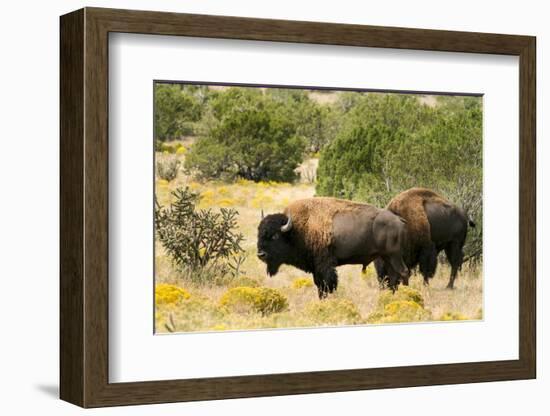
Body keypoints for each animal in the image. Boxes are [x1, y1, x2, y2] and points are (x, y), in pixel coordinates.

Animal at [258, 197, 410, 298]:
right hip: (386, 257)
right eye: (259, 233)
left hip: (394, 255)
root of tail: (398, 219)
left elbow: (327, 285)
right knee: (393, 276)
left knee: (403, 272)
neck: (297, 230)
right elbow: (320, 285)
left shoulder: (325, 265)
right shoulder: (316, 268)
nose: (261, 254)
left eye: (275, 236)